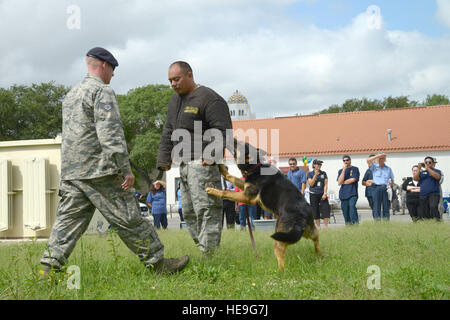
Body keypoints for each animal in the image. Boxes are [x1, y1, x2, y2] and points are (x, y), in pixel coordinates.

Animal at [206, 139, 318, 270]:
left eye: (239, 144)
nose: (232, 138)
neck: (255, 167)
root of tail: (301, 219)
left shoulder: (247, 197)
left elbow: (225, 192)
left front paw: (212, 190)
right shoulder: (244, 186)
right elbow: (230, 176)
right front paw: (221, 168)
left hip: (280, 239)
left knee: (281, 258)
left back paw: (280, 271)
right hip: (308, 233)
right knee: (316, 240)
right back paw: (320, 256)